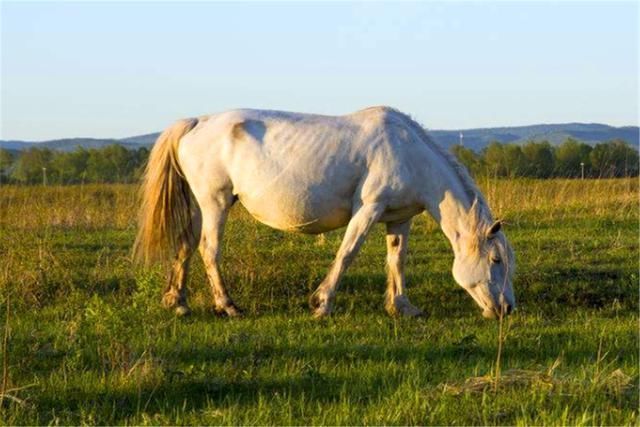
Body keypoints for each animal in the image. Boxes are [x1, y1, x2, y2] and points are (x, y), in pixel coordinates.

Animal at [134, 107, 516, 320]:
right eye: (495, 260)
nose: (507, 309)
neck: (410, 154)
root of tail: (198, 122)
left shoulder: (399, 218)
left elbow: (397, 260)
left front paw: (402, 306)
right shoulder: (368, 209)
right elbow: (346, 254)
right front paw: (322, 303)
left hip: (200, 205)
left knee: (185, 245)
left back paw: (178, 302)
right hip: (215, 202)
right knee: (209, 250)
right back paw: (227, 306)